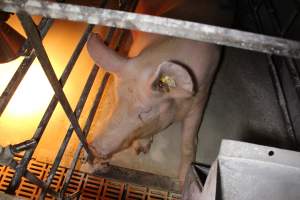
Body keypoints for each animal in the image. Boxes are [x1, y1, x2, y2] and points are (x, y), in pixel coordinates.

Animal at [85, 0, 233, 189]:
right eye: (116, 98)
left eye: (146, 111)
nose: (95, 145)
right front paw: (141, 149)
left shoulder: (201, 98)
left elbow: (188, 141)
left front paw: (184, 181)